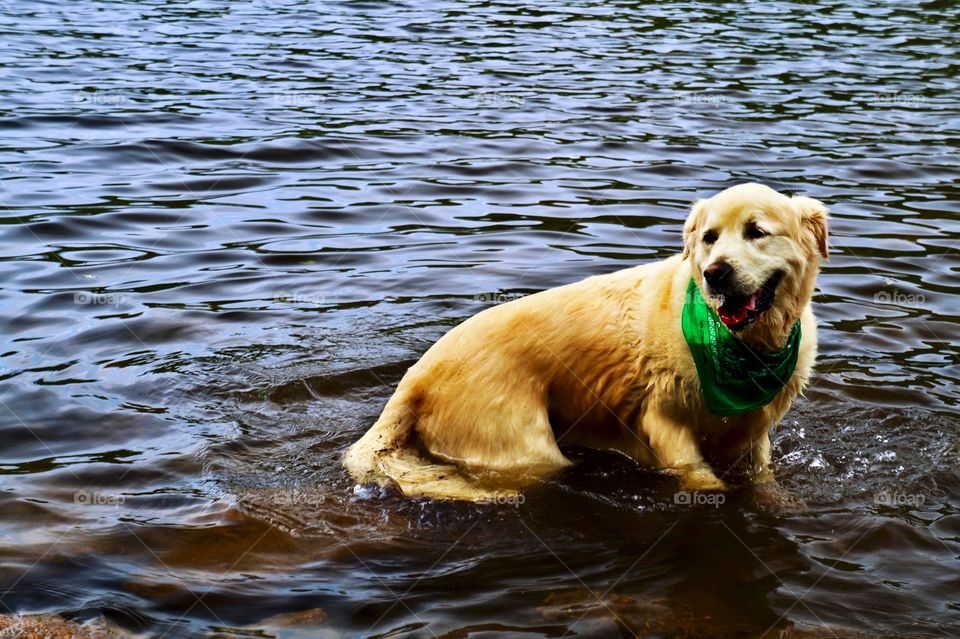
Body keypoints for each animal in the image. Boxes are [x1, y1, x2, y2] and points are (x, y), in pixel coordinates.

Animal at [344, 182, 824, 502]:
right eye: (709, 238)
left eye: (756, 232)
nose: (715, 273)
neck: (740, 346)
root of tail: (414, 379)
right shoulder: (665, 423)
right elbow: (700, 476)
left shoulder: (753, 437)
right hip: (523, 444)